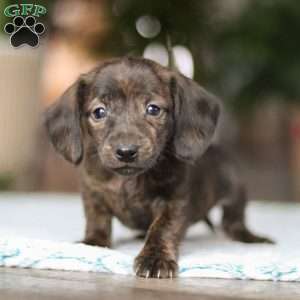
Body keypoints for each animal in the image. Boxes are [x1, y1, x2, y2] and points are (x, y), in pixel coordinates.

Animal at [44, 56, 272, 278]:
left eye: (153, 109)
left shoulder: (174, 202)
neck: (128, 180)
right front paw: (92, 243)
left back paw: (250, 237)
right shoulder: (93, 193)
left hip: (234, 188)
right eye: (99, 112)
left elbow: (162, 228)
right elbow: (97, 220)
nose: (126, 151)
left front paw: (154, 258)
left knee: (233, 220)